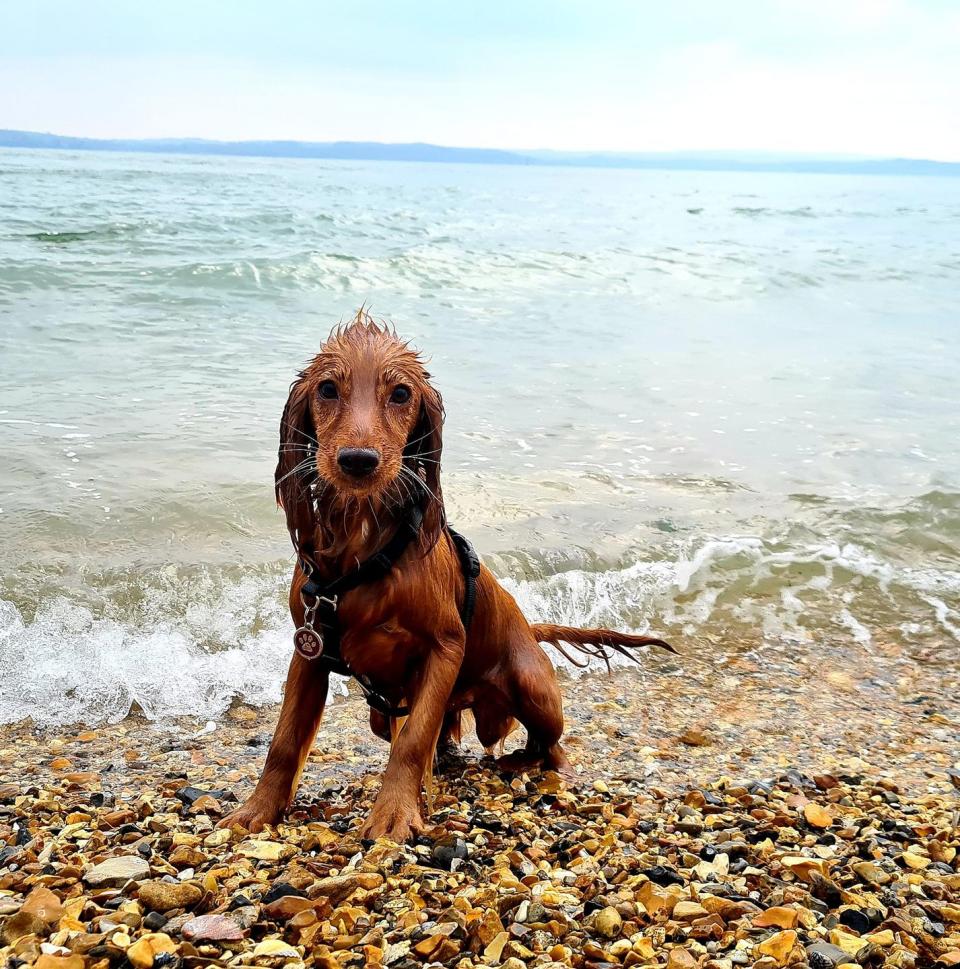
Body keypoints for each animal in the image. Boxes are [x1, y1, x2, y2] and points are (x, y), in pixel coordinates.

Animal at [218, 310, 672, 840]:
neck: (366, 551)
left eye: (400, 393)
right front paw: (257, 810)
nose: (358, 461)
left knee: (550, 747)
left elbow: (412, 740)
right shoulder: (308, 651)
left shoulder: (445, 646)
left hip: (531, 685)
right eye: (327, 389)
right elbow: (285, 741)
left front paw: (394, 812)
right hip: (382, 711)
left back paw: (528, 765)